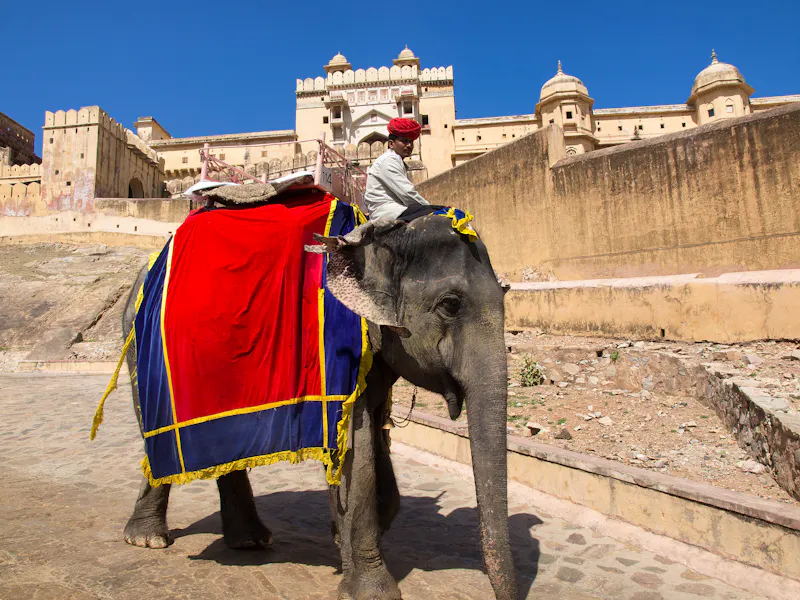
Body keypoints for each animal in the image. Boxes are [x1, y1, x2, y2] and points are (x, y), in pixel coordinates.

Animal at [120, 214, 517, 600]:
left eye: (505, 293)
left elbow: (372, 444)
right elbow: (358, 451)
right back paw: (148, 539)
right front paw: (370, 591)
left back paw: (248, 540)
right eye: (450, 304)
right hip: (143, 352)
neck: (383, 236)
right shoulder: (339, 350)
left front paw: (340, 537)